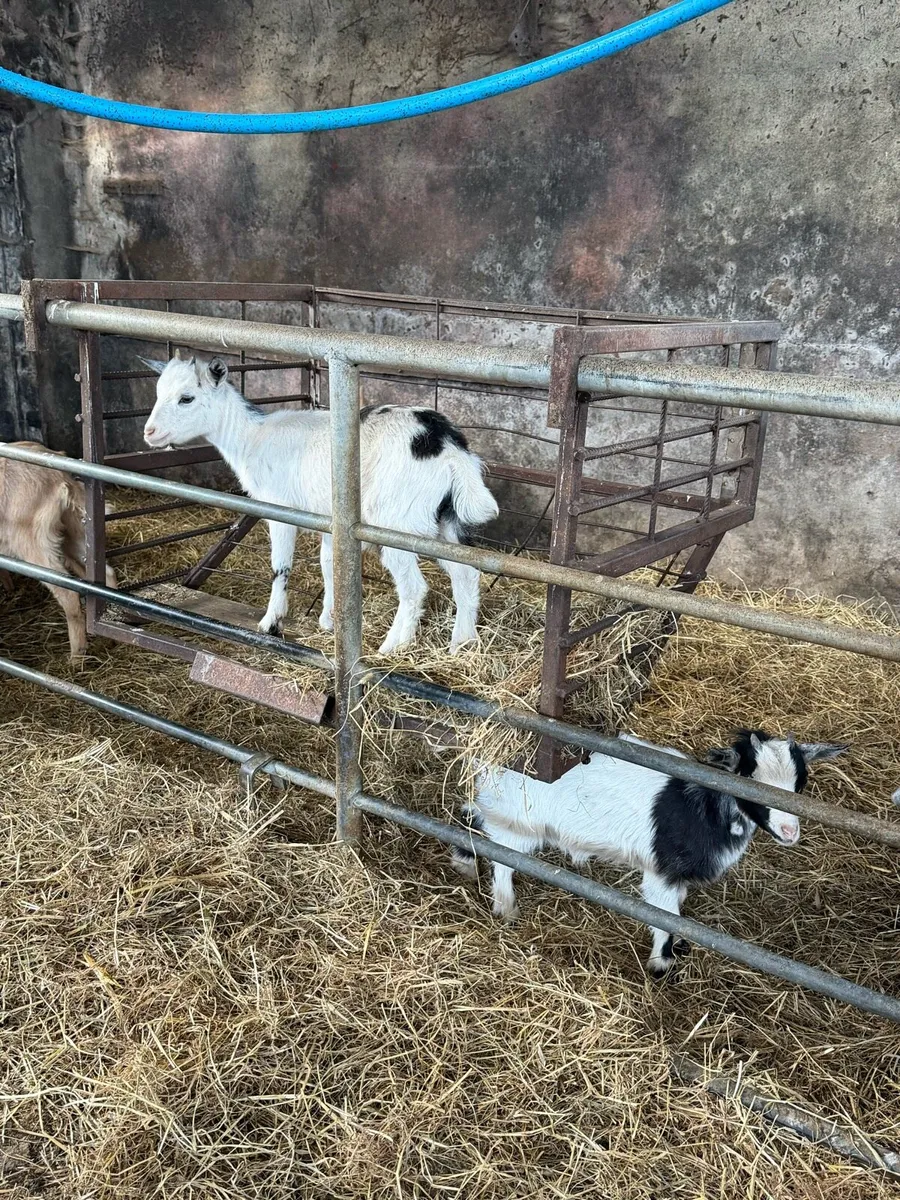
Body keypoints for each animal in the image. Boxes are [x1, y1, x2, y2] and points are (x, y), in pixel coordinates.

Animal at [0, 442, 116, 660]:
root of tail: (57, 476)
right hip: (74, 531)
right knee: (107, 574)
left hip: (32, 543)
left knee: (68, 593)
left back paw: (76, 657)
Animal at [141, 354, 499, 654]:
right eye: (157, 393)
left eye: (186, 398)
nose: (150, 432)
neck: (251, 438)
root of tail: (450, 450)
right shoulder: (328, 516)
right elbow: (329, 563)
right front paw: (329, 620)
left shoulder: (279, 508)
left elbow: (281, 566)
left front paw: (271, 623)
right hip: (441, 520)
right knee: (466, 573)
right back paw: (462, 643)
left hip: (393, 519)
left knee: (414, 587)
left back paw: (391, 648)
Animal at [451, 729, 847, 976]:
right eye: (750, 781)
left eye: (799, 783)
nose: (789, 832)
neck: (705, 807)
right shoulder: (662, 873)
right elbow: (665, 917)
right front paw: (662, 964)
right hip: (517, 822)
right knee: (502, 858)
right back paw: (504, 906)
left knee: (472, 813)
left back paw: (464, 859)